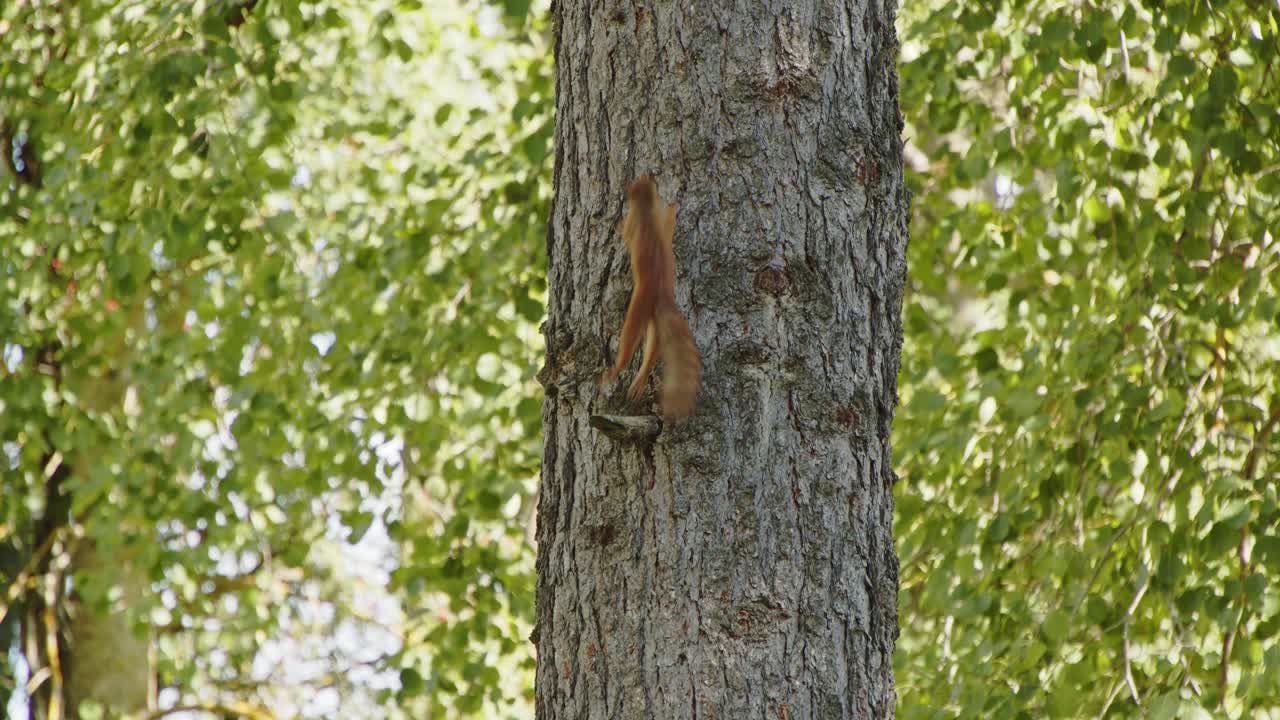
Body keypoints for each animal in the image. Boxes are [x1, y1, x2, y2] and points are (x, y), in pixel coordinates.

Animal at [599, 174, 701, 421]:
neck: (645, 208)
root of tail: (662, 293)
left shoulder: (633, 225)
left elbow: (626, 234)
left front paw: (617, 224)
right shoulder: (660, 222)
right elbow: (668, 224)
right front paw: (674, 207)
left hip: (636, 313)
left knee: (628, 348)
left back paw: (613, 372)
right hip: (654, 321)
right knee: (653, 351)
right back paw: (639, 382)